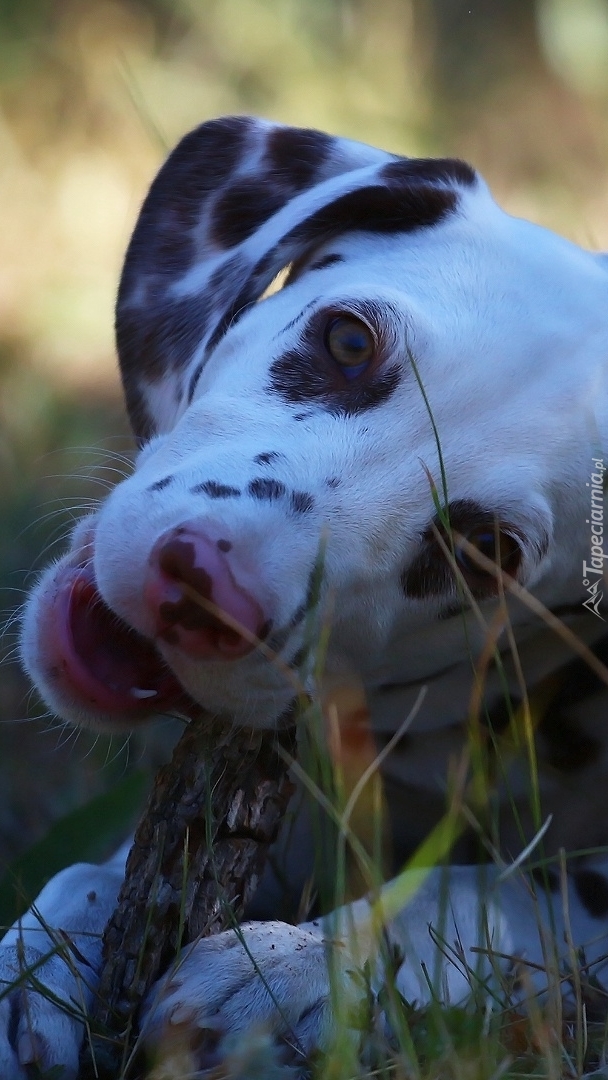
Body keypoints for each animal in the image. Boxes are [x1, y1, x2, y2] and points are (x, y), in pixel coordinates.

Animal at [1, 113, 608, 1075]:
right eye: (349, 341)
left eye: (485, 552)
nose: (203, 585)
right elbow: (97, 875)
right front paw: (39, 964)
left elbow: (491, 892)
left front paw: (294, 968)